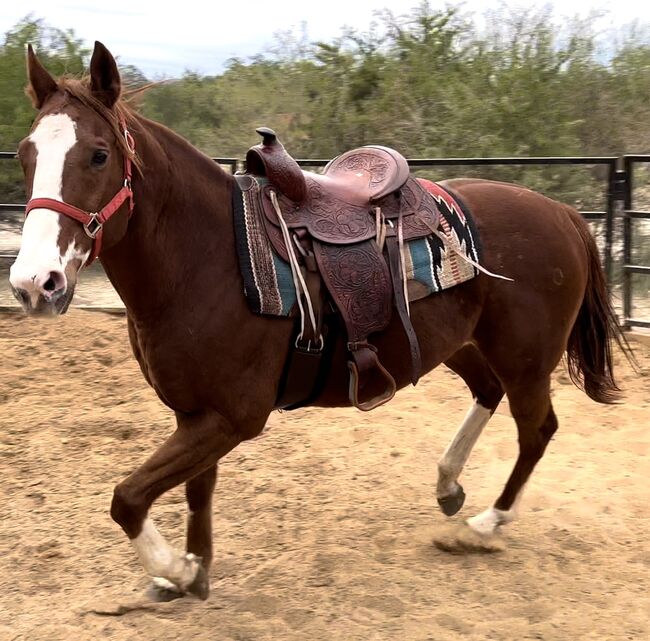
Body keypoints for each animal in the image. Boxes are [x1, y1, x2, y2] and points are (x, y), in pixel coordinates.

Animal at [8, 43, 624, 600]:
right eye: (24, 154)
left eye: (98, 155)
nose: (35, 283)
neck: (210, 256)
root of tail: (564, 214)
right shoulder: (196, 415)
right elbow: (195, 492)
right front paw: (194, 569)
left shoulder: (233, 418)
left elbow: (129, 497)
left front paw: (176, 571)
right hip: (460, 345)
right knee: (487, 391)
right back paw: (449, 484)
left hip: (527, 361)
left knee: (536, 430)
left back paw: (484, 527)